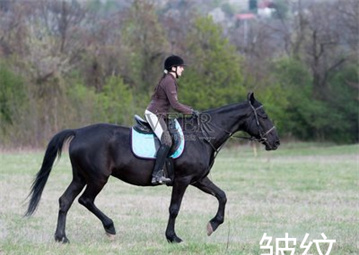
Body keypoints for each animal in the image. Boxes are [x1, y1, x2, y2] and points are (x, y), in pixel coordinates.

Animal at [26, 92, 282, 243]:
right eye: (264, 116)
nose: (276, 142)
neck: (201, 136)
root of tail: (79, 132)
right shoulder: (183, 180)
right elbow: (174, 208)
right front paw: (172, 237)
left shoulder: (199, 179)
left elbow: (222, 195)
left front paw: (213, 225)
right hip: (98, 178)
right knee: (85, 200)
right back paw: (110, 227)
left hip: (80, 177)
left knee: (65, 201)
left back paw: (61, 237)